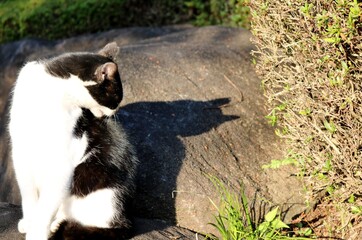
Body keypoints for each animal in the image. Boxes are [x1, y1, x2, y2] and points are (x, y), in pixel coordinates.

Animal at [8, 43, 139, 240]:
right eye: (116, 97)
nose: (114, 112)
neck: (51, 92)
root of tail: (125, 218)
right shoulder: (21, 153)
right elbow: (29, 196)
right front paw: (31, 222)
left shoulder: (62, 162)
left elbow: (46, 207)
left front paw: (37, 232)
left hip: (95, 181)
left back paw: (56, 226)